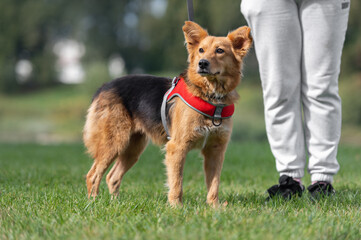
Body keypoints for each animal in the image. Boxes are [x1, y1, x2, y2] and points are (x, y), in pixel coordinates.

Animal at [82, 21, 250, 206]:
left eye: (220, 50)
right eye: (201, 50)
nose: (202, 63)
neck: (210, 95)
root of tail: (104, 86)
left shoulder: (215, 150)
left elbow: (214, 184)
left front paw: (214, 207)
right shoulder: (177, 147)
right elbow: (177, 182)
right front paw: (176, 207)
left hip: (132, 148)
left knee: (112, 177)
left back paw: (115, 204)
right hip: (114, 142)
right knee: (93, 175)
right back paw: (93, 203)